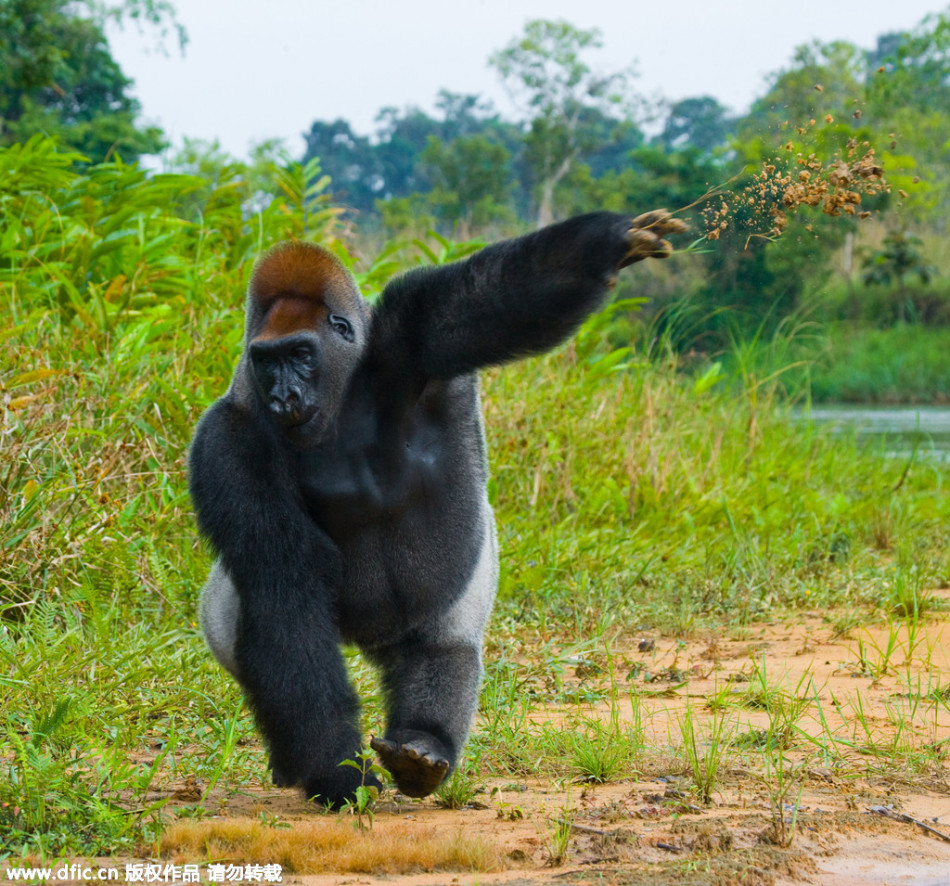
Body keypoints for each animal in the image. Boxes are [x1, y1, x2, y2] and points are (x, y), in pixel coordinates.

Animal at [190, 212, 688, 808]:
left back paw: (426, 744)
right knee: (242, 620)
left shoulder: (408, 335)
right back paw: (301, 762)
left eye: (300, 355)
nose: (283, 397)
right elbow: (283, 592)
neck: (341, 393)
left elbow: (497, 300)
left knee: (445, 647)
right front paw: (336, 771)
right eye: (267, 362)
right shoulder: (226, 441)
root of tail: (370, 641)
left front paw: (607, 246)